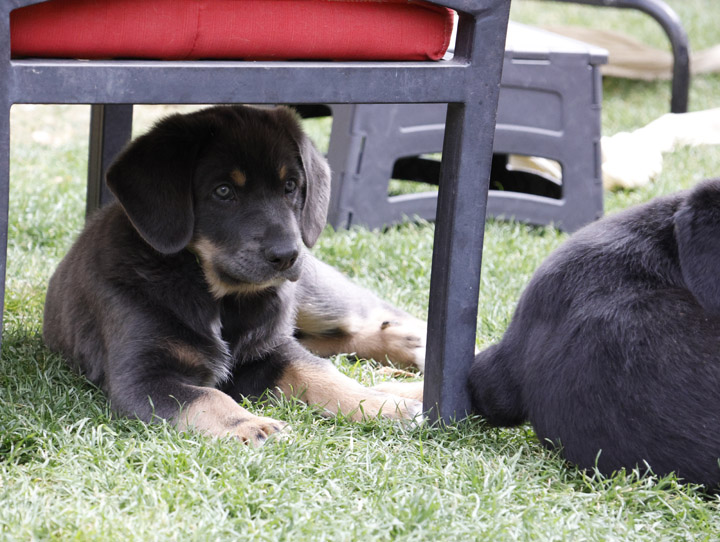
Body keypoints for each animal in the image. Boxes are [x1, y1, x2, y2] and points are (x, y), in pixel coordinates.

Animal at [43, 106, 428, 446]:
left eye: (291, 186)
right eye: (224, 191)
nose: (288, 255)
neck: (216, 295)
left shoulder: (271, 348)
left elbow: (319, 372)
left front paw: (384, 406)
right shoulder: (143, 378)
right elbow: (207, 397)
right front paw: (252, 425)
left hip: (316, 298)